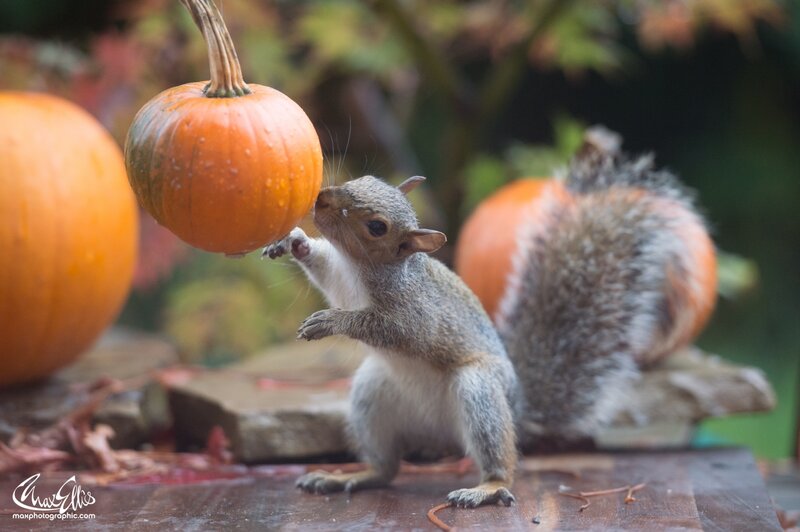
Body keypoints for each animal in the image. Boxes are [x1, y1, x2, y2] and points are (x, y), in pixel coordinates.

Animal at [262, 127, 711, 508]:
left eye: (376, 227)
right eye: (364, 178)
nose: (320, 199)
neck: (364, 270)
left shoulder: (415, 314)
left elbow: (387, 328)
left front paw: (330, 322)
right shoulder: (343, 279)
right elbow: (325, 270)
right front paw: (293, 242)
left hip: (479, 391)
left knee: (498, 459)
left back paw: (486, 489)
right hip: (372, 395)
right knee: (387, 468)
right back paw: (348, 476)